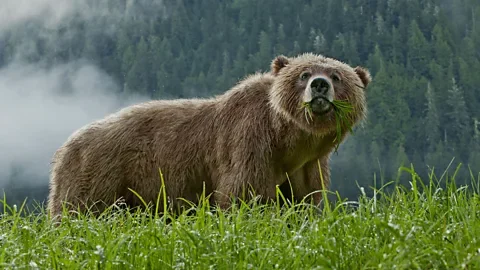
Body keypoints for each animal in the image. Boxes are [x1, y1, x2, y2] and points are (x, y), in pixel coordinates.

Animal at [47, 52, 372, 217]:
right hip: (98, 175)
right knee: (79, 213)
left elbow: (302, 201)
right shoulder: (249, 142)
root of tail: (64, 147)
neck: (289, 141)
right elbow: (242, 195)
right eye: (304, 74)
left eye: (337, 76)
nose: (319, 85)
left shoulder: (307, 167)